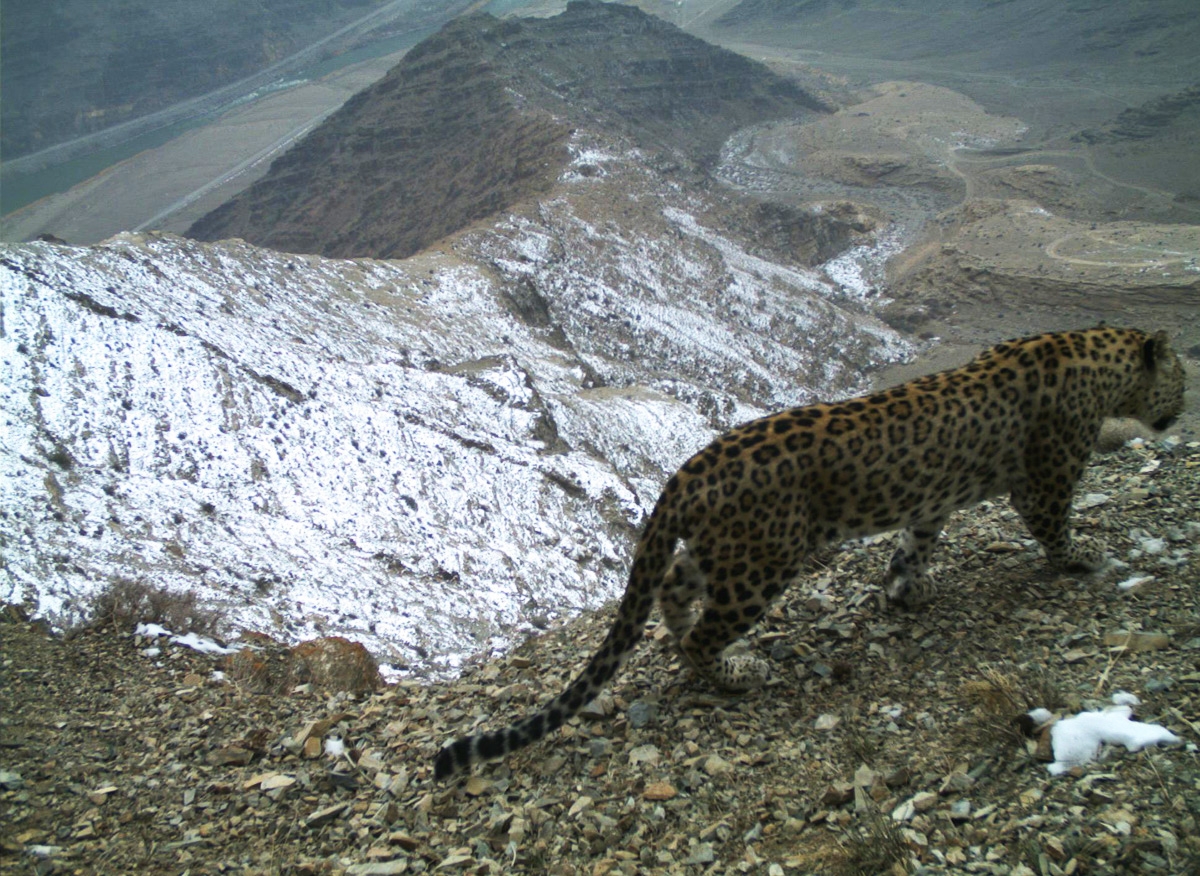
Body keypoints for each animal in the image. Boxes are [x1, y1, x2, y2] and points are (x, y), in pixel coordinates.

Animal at [436, 326, 1185, 777]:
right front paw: (1084, 559)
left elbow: (917, 543)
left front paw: (905, 590)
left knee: (675, 587)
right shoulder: (1047, 478)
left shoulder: (932, 501)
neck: (1100, 362)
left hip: (727, 551)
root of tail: (689, 467)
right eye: (1180, 377)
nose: (1178, 410)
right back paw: (734, 674)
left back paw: (686, 635)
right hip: (762, 564)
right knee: (704, 634)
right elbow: (1055, 527)